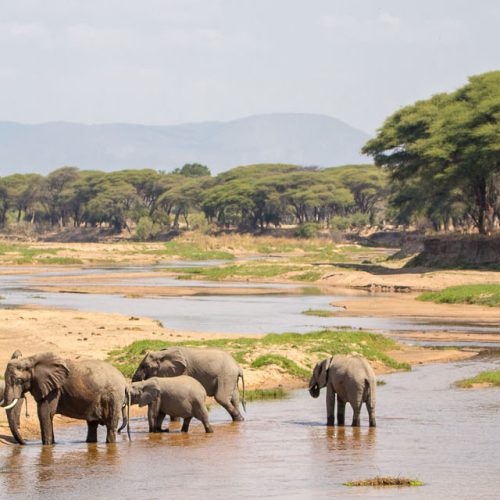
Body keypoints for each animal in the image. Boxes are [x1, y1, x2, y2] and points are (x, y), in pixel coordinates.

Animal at [1, 352, 131, 446]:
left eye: (19, 381)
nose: (25, 443)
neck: (31, 359)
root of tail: (124, 382)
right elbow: (47, 415)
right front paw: (52, 444)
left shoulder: (54, 389)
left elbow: (44, 413)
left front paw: (47, 446)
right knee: (92, 424)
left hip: (114, 397)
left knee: (110, 426)